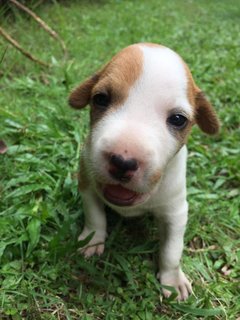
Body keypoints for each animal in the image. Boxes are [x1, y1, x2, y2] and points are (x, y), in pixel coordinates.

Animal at [68, 43, 219, 302]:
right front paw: (92, 241)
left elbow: (172, 250)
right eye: (100, 99)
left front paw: (172, 279)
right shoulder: (87, 184)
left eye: (178, 119)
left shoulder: (176, 212)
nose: (123, 161)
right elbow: (95, 217)